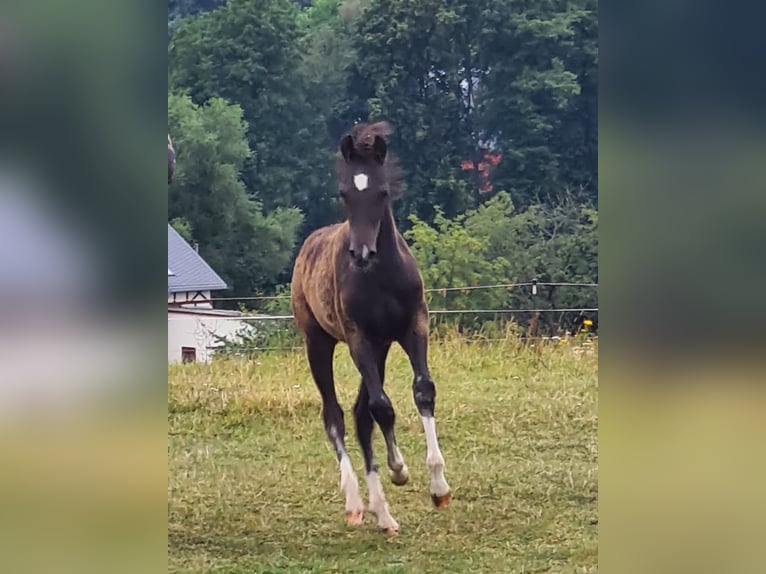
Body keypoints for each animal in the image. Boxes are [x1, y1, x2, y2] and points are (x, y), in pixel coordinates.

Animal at [292, 121, 450, 536]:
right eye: (344, 194)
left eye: (381, 193)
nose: (361, 253)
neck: (381, 277)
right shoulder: (358, 338)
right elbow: (382, 407)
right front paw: (399, 469)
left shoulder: (413, 327)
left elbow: (422, 391)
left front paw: (438, 487)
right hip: (318, 342)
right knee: (335, 415)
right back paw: (356, 504)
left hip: (379, 348)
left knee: (361, 415)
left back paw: (384, 514)